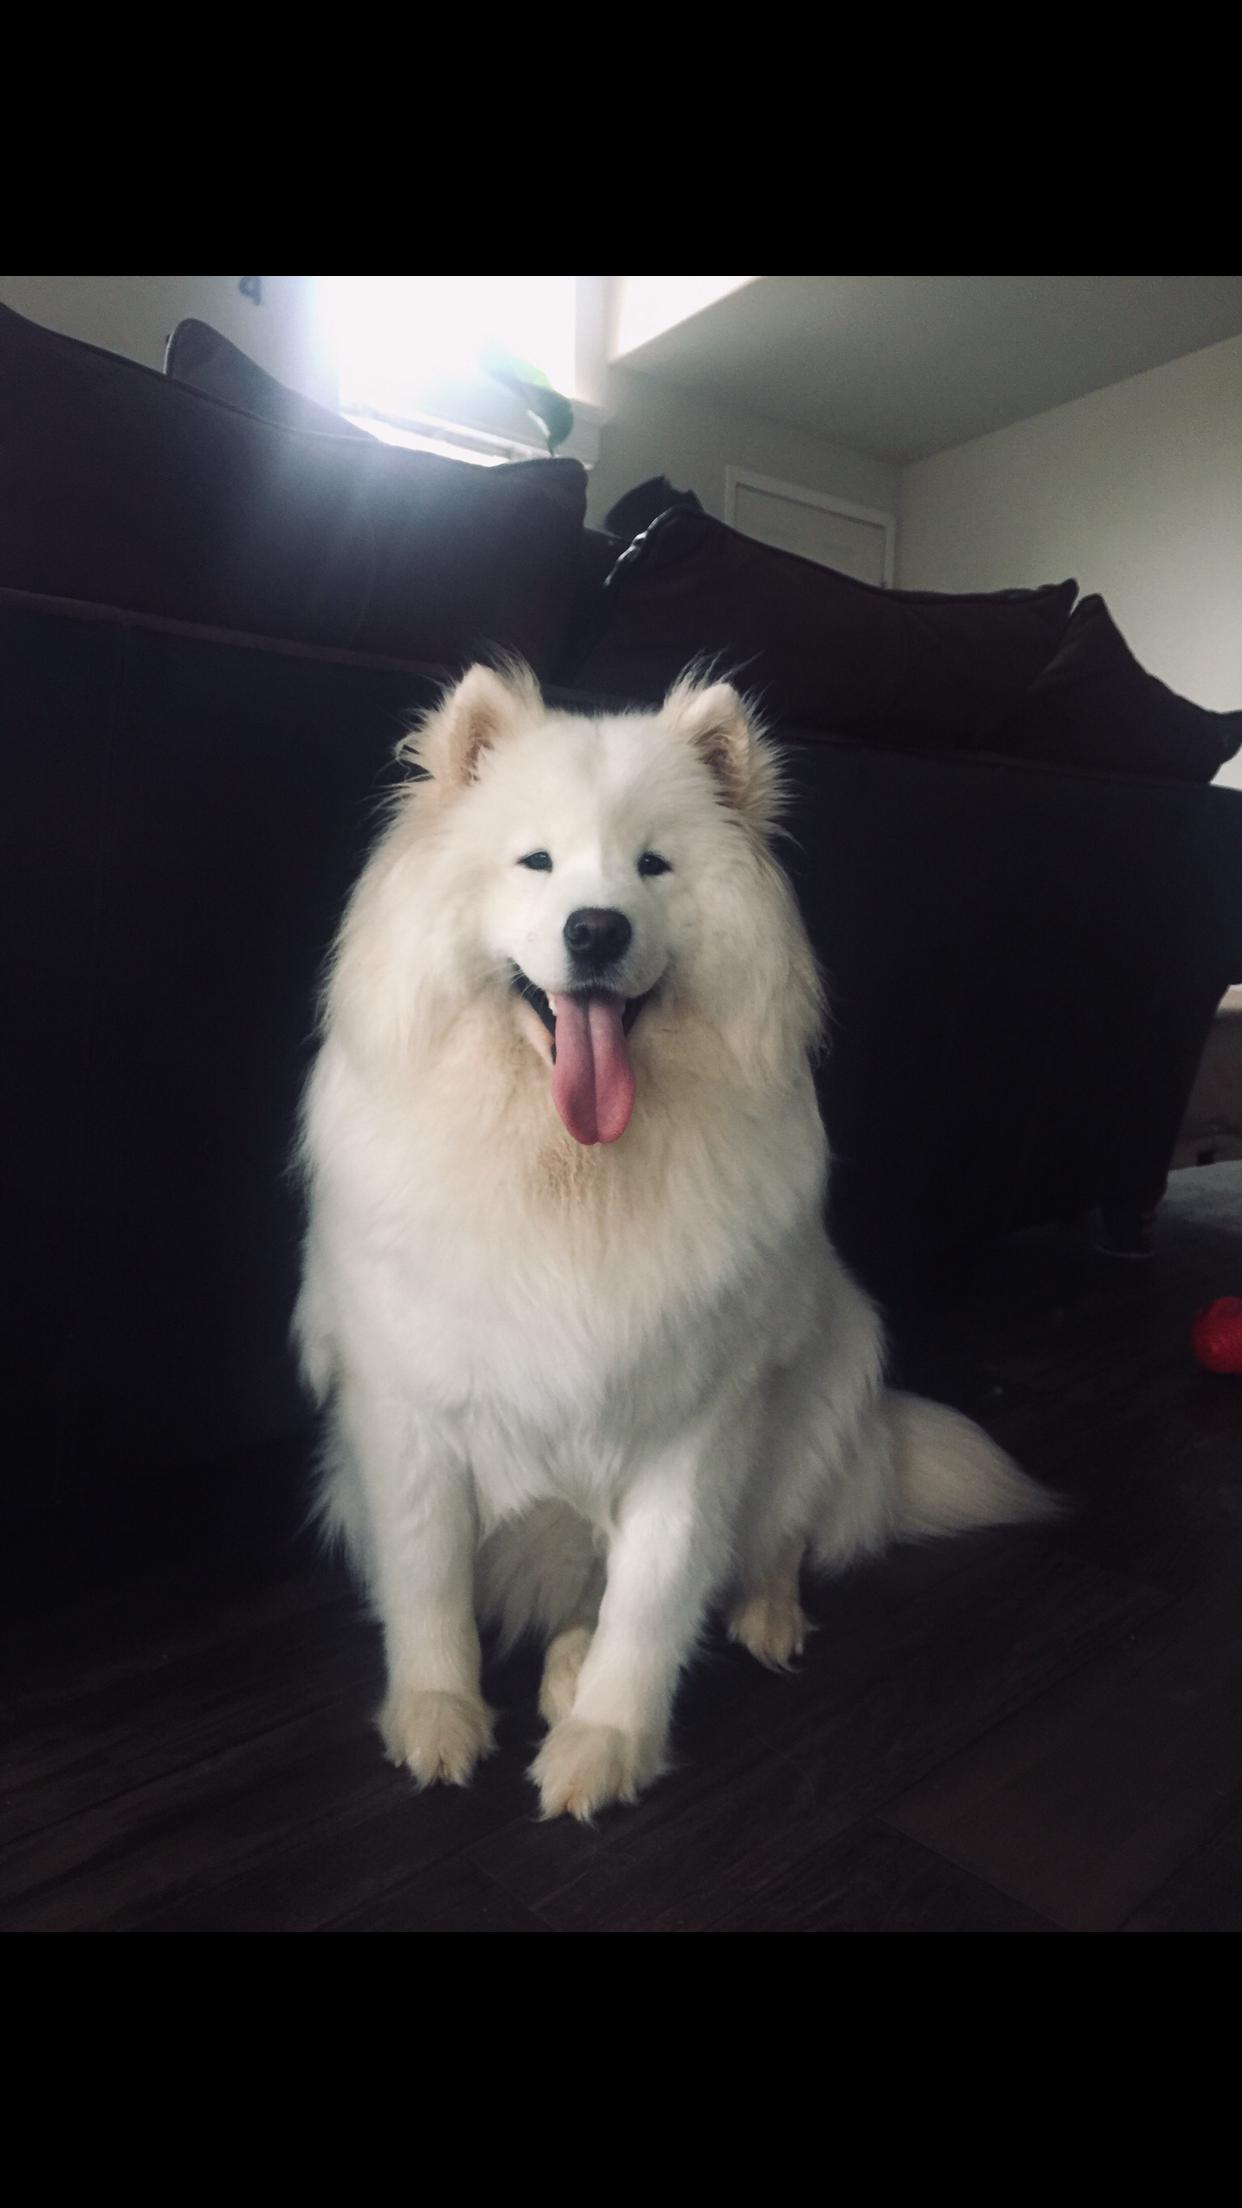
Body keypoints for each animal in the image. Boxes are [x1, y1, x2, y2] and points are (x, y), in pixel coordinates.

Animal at [293, 662, 1053, 1821]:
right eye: (536, 861)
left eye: (654, 864)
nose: (597, 930)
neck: (572, 1176)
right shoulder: (406, 1414)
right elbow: (428, 1584)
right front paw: (438, 1719)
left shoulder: (698, 1424)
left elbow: (651, 1601)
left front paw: (607, 1743)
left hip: (834, 1371)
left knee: (776, 1538)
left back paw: (756, 1622)